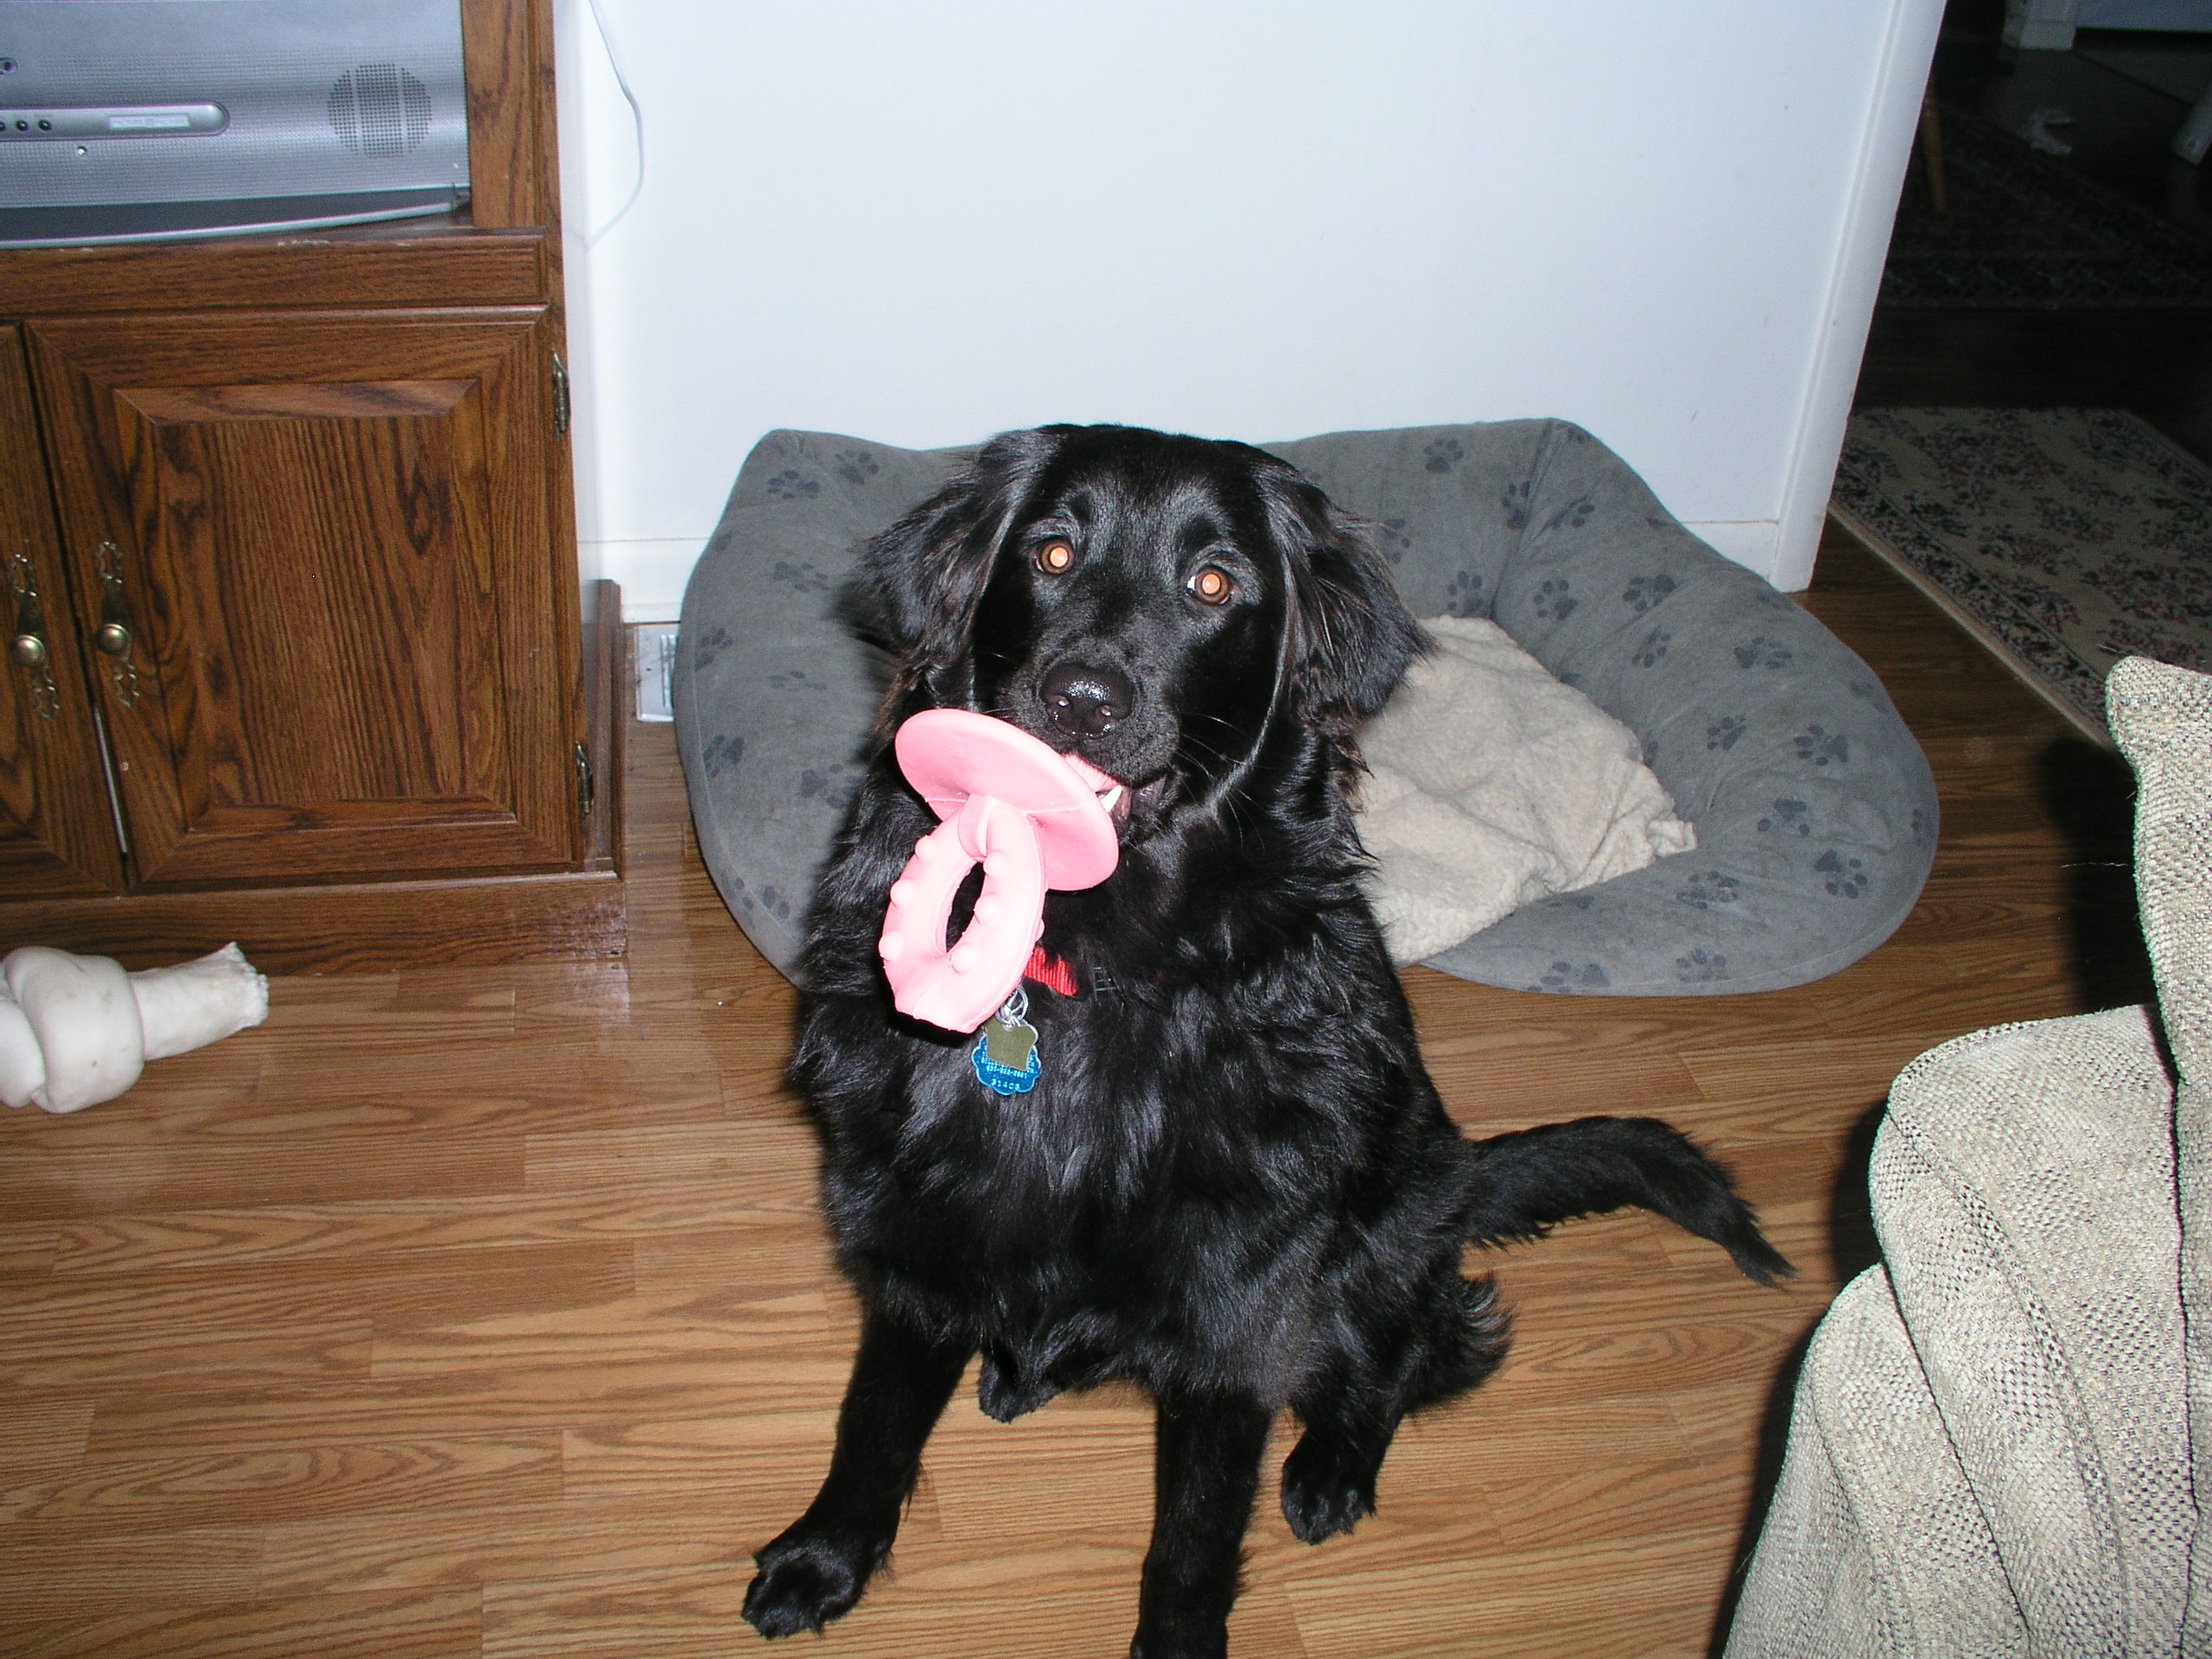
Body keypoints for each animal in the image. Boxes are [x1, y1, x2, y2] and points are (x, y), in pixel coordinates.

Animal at [752, 422, 1787, 1654]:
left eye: (1213, 585)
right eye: (1051, 552)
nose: (1081, 696)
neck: (1093, 961)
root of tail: (1459, 1177)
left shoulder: (1240, 1312)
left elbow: (1194, 1537)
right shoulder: (916, 1233)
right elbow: (872, 1427)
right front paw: (823, 1559)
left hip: (1376, 1248)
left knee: (1406, 1355)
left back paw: (1333, 1466)